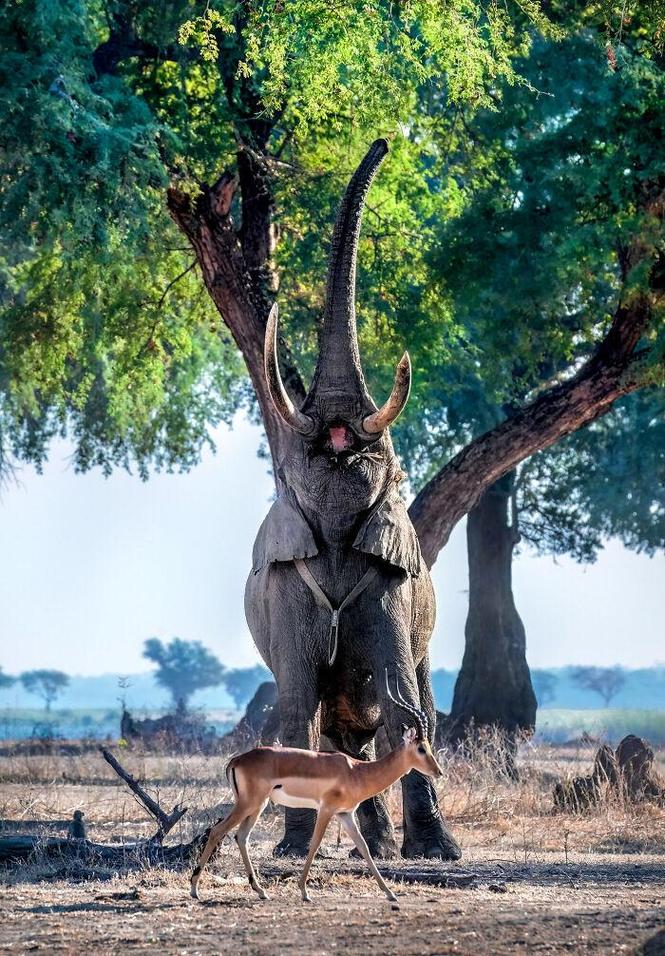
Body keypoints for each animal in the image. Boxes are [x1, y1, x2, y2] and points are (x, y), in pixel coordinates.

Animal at [245, 138, 462, 864]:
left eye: (376, 455)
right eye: (308, 454)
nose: (385, 142)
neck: (340, 540)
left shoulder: (392, 585)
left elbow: (405, 708)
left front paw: (436, 855)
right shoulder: (287, 585)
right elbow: (292, 705)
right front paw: (288, 852)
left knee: (411, 703)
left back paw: (409, 849)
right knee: (334, 724)